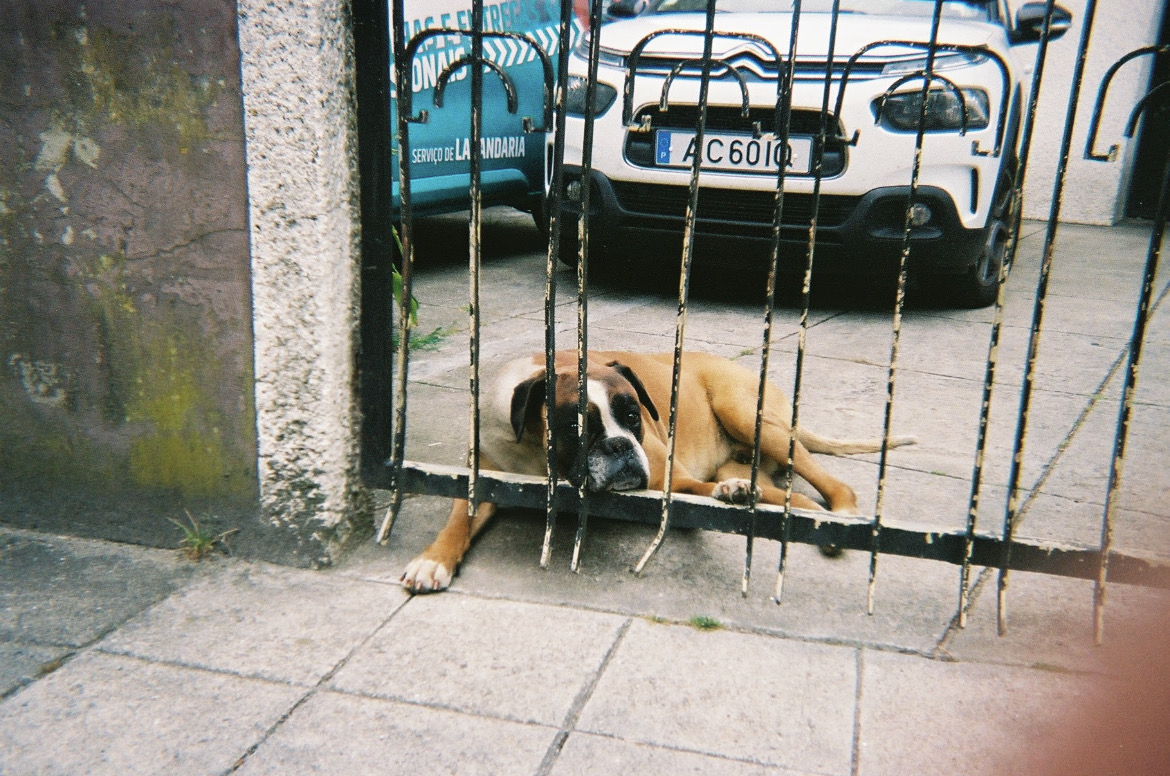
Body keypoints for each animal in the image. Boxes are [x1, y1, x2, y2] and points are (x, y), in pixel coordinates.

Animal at [402, 348, 912, 592]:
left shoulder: (673, 478)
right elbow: (458, 521)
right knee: (774, 489)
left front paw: (731, 496)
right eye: (576, 427)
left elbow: (701, 493)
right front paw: (432, 560)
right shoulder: (481, 480)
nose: (620, 445)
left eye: (634, 416)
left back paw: (830, 517)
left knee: (819, 487)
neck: (533, 452)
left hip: (748, 416)